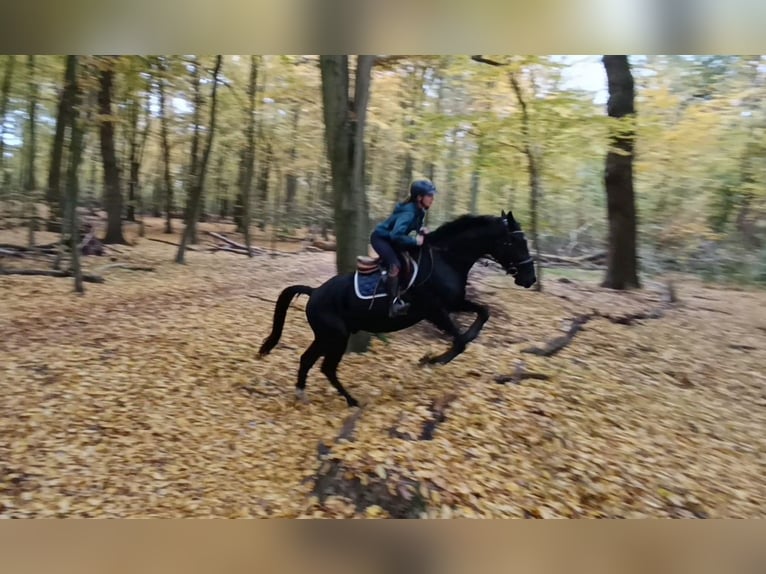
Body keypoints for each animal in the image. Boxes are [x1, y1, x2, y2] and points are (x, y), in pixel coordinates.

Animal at [258, 209, 536, 408]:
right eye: (515, 242)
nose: (530, 278)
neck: (446, 258)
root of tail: (314, 292)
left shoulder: (454, 303)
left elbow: (483, 313)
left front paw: (442, 352)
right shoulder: (435, 310)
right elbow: (459, 342)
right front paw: (431, 360)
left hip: (326, 336)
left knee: (307, 360)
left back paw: (302, 395)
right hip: (336, 336)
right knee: (327, 368)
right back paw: (352, 401)